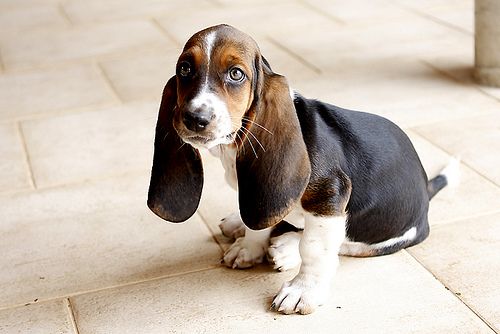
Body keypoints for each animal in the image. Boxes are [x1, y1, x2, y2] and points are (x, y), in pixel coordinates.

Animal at [146, 24, 458, 314]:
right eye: (185, 69)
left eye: (236, 74)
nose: (195, 118)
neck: (232, 148)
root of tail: (426, 187)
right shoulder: (260, 195)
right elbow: (259, 222)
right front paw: (249, 248)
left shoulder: (329, 196)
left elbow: (315, 248)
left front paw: (303, 290)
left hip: (379, 236)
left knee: (343, 243)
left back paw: (286, 249)